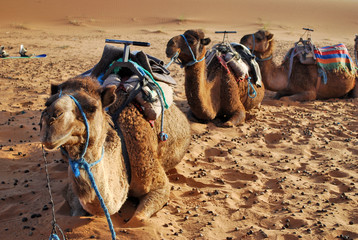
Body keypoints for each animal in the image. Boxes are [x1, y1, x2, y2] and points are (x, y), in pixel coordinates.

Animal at [40, 76, 192, 226]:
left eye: (92, 108)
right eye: (47, 103)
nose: (51, 118)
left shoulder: (158, 182)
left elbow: (138, 218)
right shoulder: (71, 190)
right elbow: (75, 213)